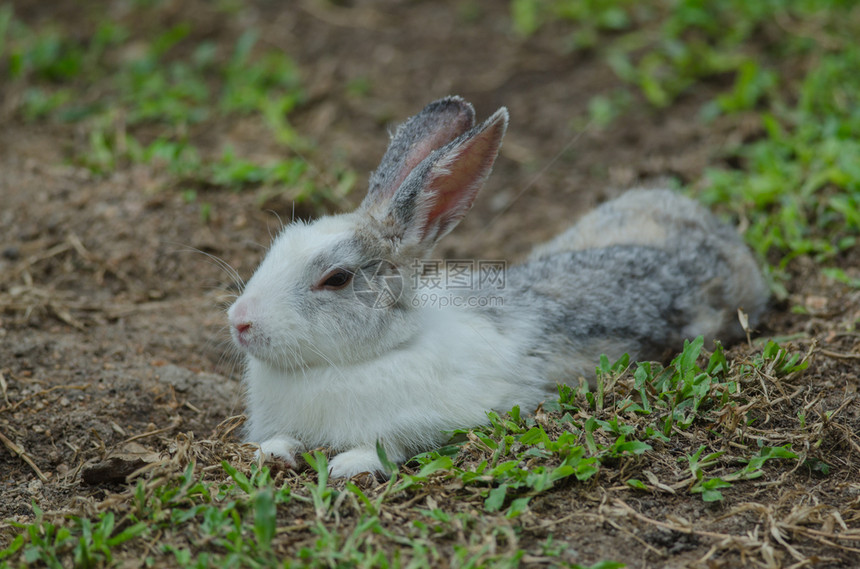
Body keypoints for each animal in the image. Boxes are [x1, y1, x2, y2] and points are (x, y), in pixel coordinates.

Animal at [225, 95, 768, 478]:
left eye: (336, 278)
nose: (240, 322)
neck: (373, 354)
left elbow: (389, 447)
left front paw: (349, 465)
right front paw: (273, 454)